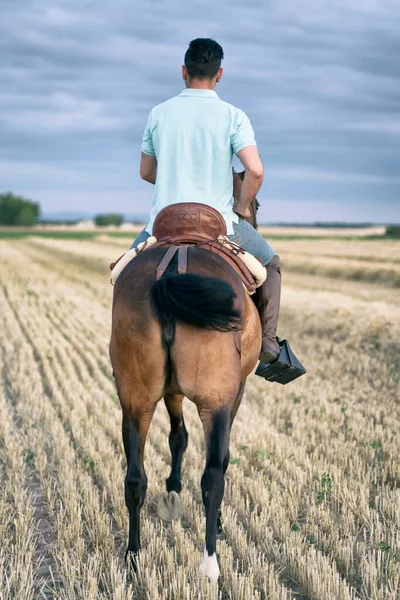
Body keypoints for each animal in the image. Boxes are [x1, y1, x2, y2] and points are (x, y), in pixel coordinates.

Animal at [109, 189, 260, 580]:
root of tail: (175, 265)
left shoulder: (172, 391)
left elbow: (177, 437)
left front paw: (173, 493)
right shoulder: (236, 390)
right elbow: (220, 457)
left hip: (136, 399)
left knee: (134, 478)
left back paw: (133, 555)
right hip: (214, 400)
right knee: (213, 476)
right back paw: (210, 562)